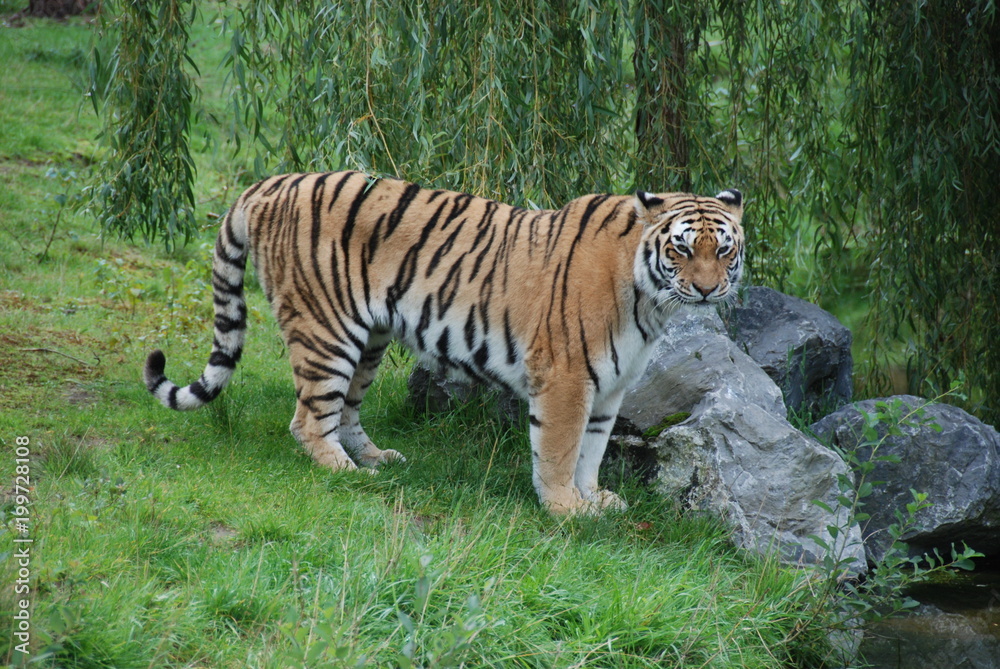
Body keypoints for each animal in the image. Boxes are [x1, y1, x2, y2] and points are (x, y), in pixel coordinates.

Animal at [146, 170, 744, 516]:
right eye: (682, 250)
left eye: (724, 250)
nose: (708, 289)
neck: (651, 301)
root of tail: (270, 183)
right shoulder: (567, 377)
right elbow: (559, 450)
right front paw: (564, 509)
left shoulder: (611, 387)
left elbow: (592, 450)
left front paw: (594, 499)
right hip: (327, 331)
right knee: (309, 417)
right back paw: (344, 472)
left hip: (370, 338)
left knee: (346, 409)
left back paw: (375, 458)